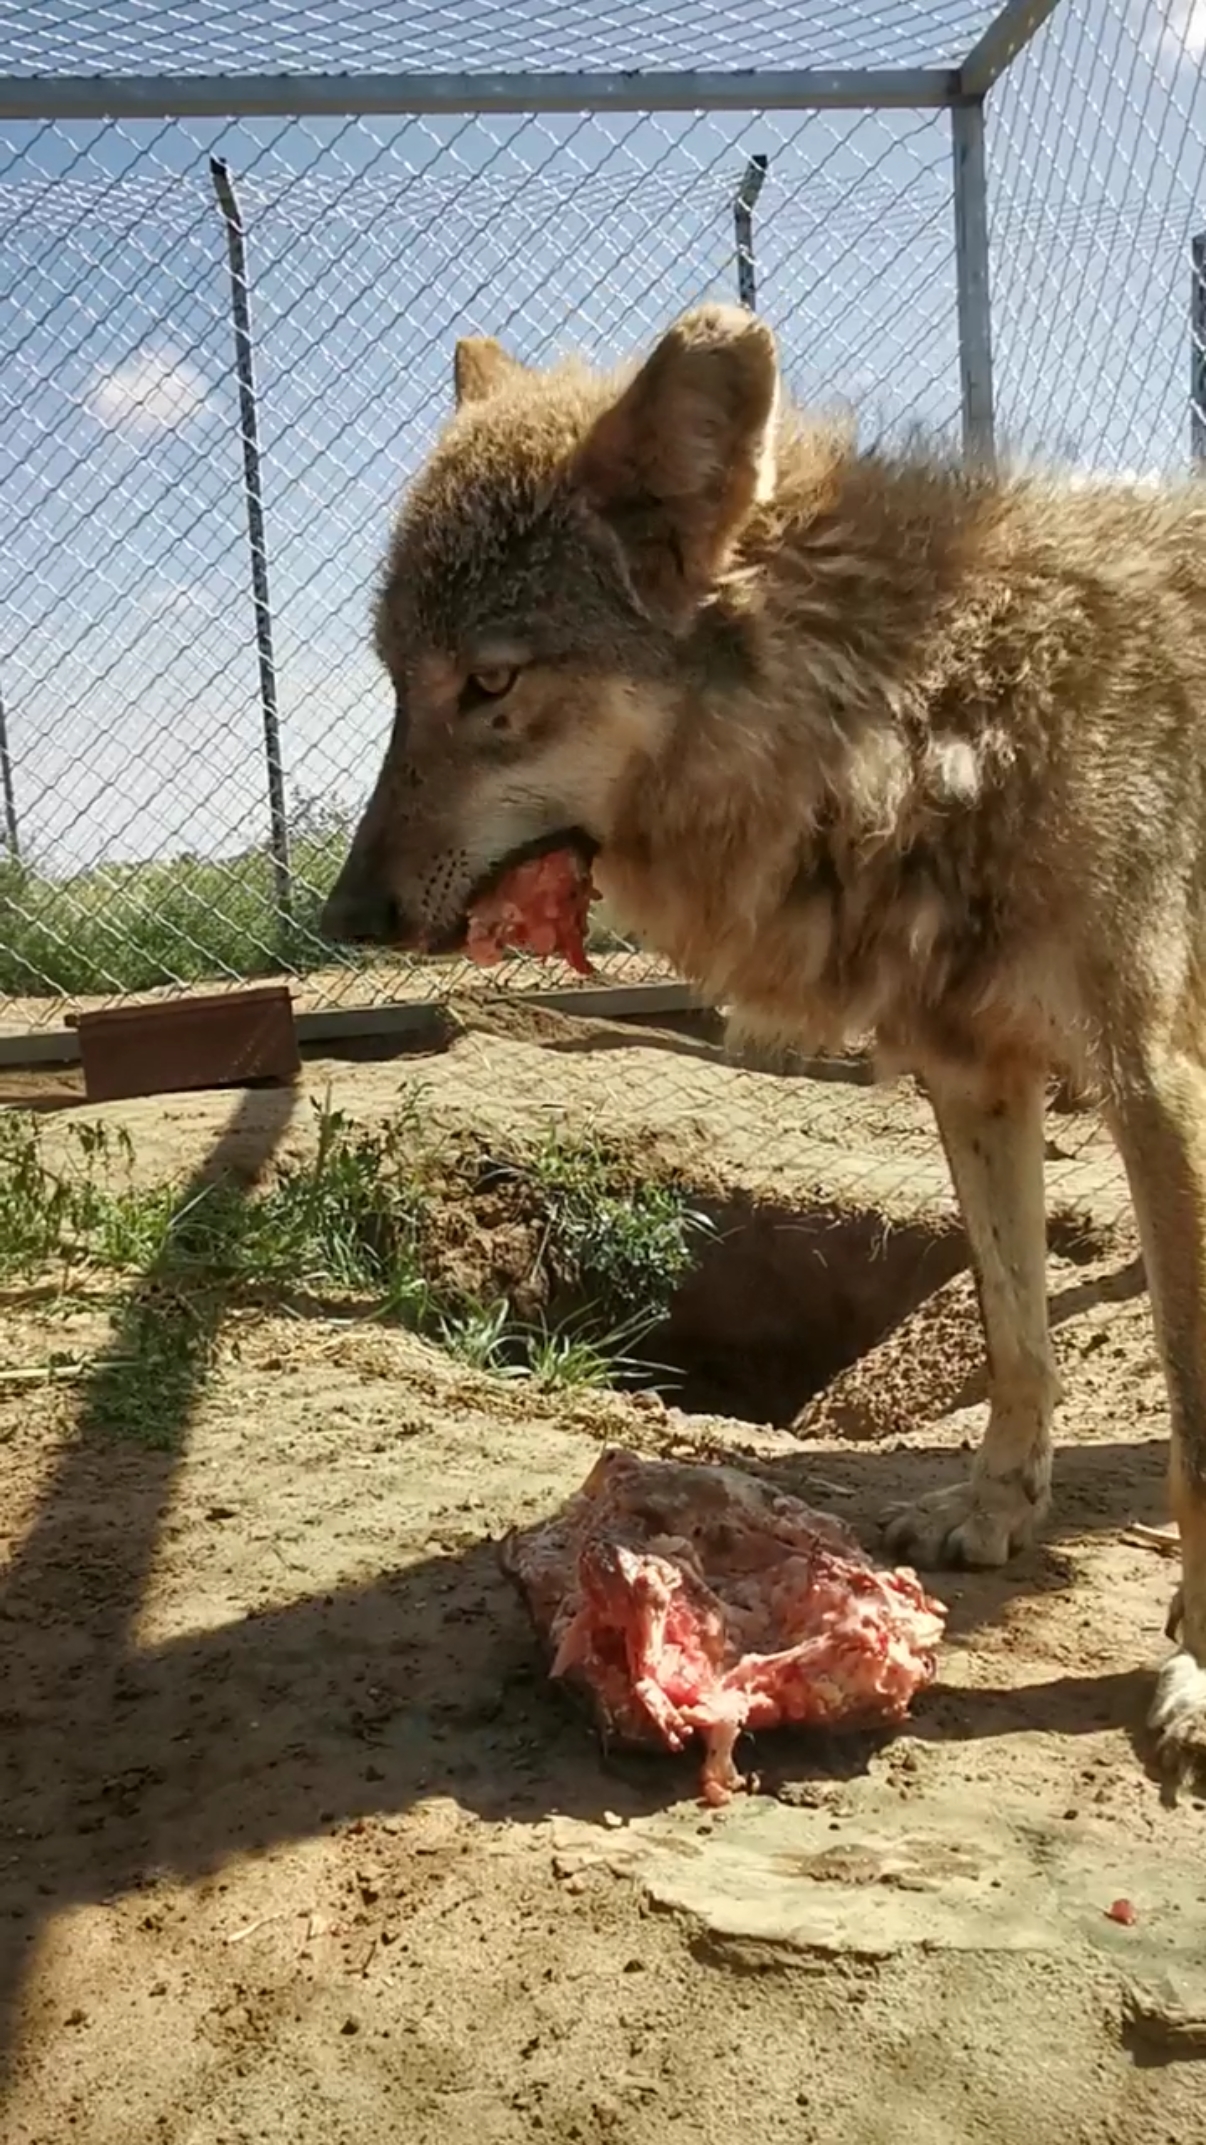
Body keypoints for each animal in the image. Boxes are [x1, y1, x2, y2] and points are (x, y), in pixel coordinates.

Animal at [321, 302, 1206, 1793]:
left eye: (489, 684)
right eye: (398, 686)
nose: (343, 918)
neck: (936, 711)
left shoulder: (1159, 1091)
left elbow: (1193, 1417)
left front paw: (1198, 1665)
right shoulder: (974, 1072)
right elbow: (1017, 1335)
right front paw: (993, 1509)